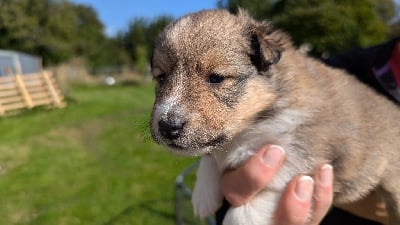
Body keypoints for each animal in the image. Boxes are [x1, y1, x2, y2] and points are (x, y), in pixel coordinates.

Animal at [149, 8, 400, 225]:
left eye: (216, 78)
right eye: (161, 77)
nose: (167, 127)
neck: (253, 124)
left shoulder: (303, 148)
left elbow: (263, 193)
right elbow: (211, 155)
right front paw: (204, 193)